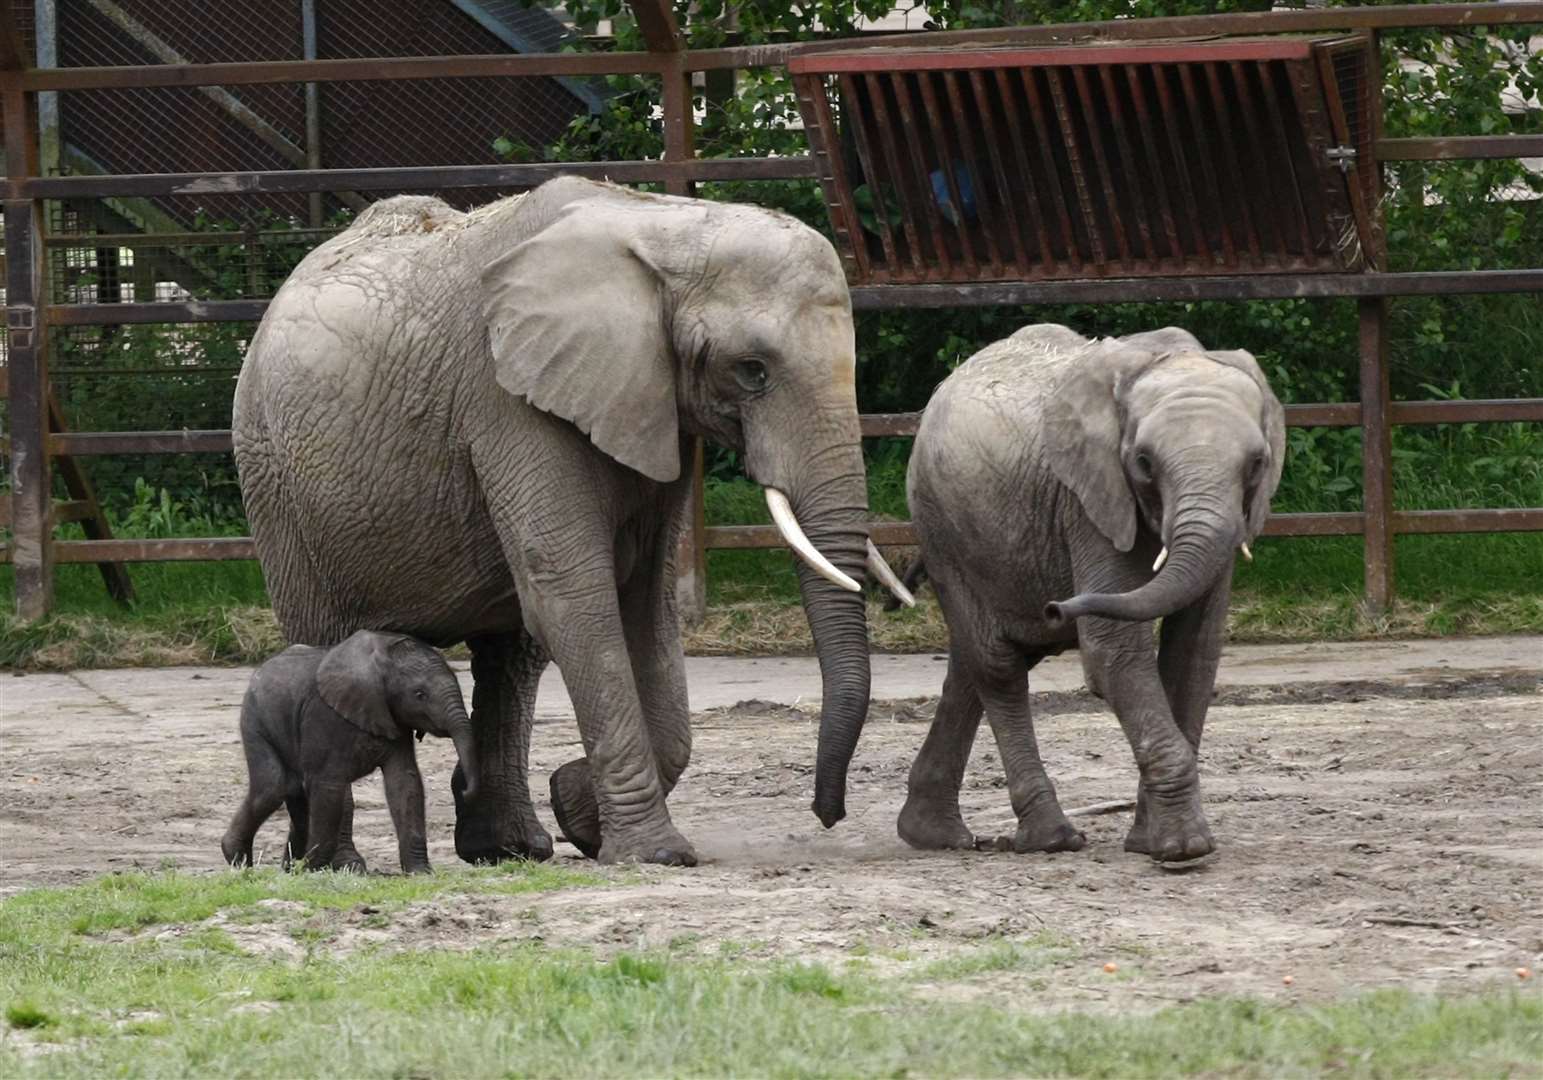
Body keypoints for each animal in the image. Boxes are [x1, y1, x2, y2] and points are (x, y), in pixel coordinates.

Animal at [220, 629, 478, 876]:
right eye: (420, 694)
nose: (464, 791)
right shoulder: (323, 716)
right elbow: (329, 786)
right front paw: (311, 869)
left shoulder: (394, 720)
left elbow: (405, 783)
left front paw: (420, 872)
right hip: (255, 720)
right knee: (273, 787)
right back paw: (238, 859)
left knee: (293, 790)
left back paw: (288, 869)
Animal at [901, 325, 1283, 864]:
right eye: (1143, 463)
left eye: (1256, 465)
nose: (1056, 607)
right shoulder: (1087, 500)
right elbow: (1113, 653)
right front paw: (1184, 849)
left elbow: (1194, 652)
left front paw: (1150, 843)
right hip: (940, 524)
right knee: (997, 664)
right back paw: (1052, 838)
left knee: (970, 664)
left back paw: (932, 834)